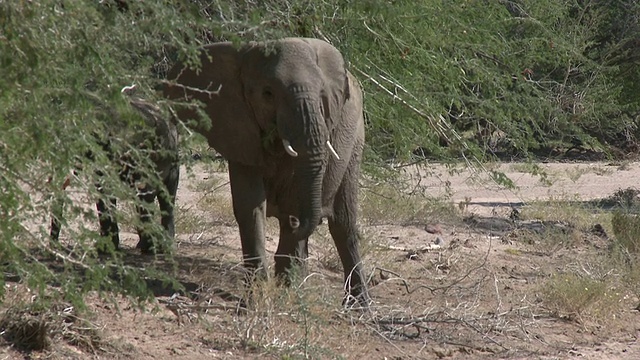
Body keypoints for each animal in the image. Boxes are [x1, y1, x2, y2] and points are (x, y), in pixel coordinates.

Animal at [164, 37, 370, 306]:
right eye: (268, 94)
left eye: (322, 95)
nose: (298, 222)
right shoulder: (238, 128)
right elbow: (250, 207)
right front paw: (257, 300)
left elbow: (294, 202)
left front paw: (283, 295)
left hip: (356, 137)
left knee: (343, 223)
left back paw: (357, 307)